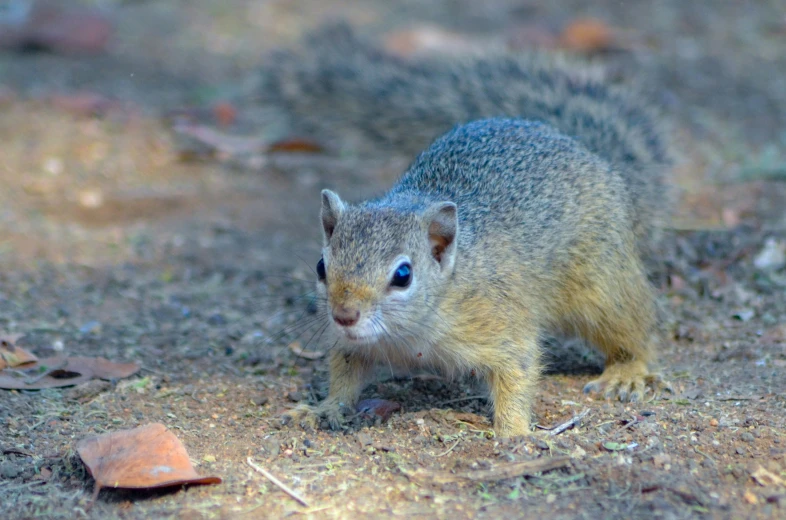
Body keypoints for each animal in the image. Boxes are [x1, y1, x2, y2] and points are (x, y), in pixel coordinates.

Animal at [262, 25, 668, 438]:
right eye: (321, 267)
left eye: (403, 275)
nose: (344, 316)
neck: (408, 332)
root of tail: (596, 158)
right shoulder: (354, 345)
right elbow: (345, 375)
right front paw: (323, 408)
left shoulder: (500, 320)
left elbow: (516, 372)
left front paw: (514, 433)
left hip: (603, 283)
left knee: (634, 328)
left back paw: (626, 372)